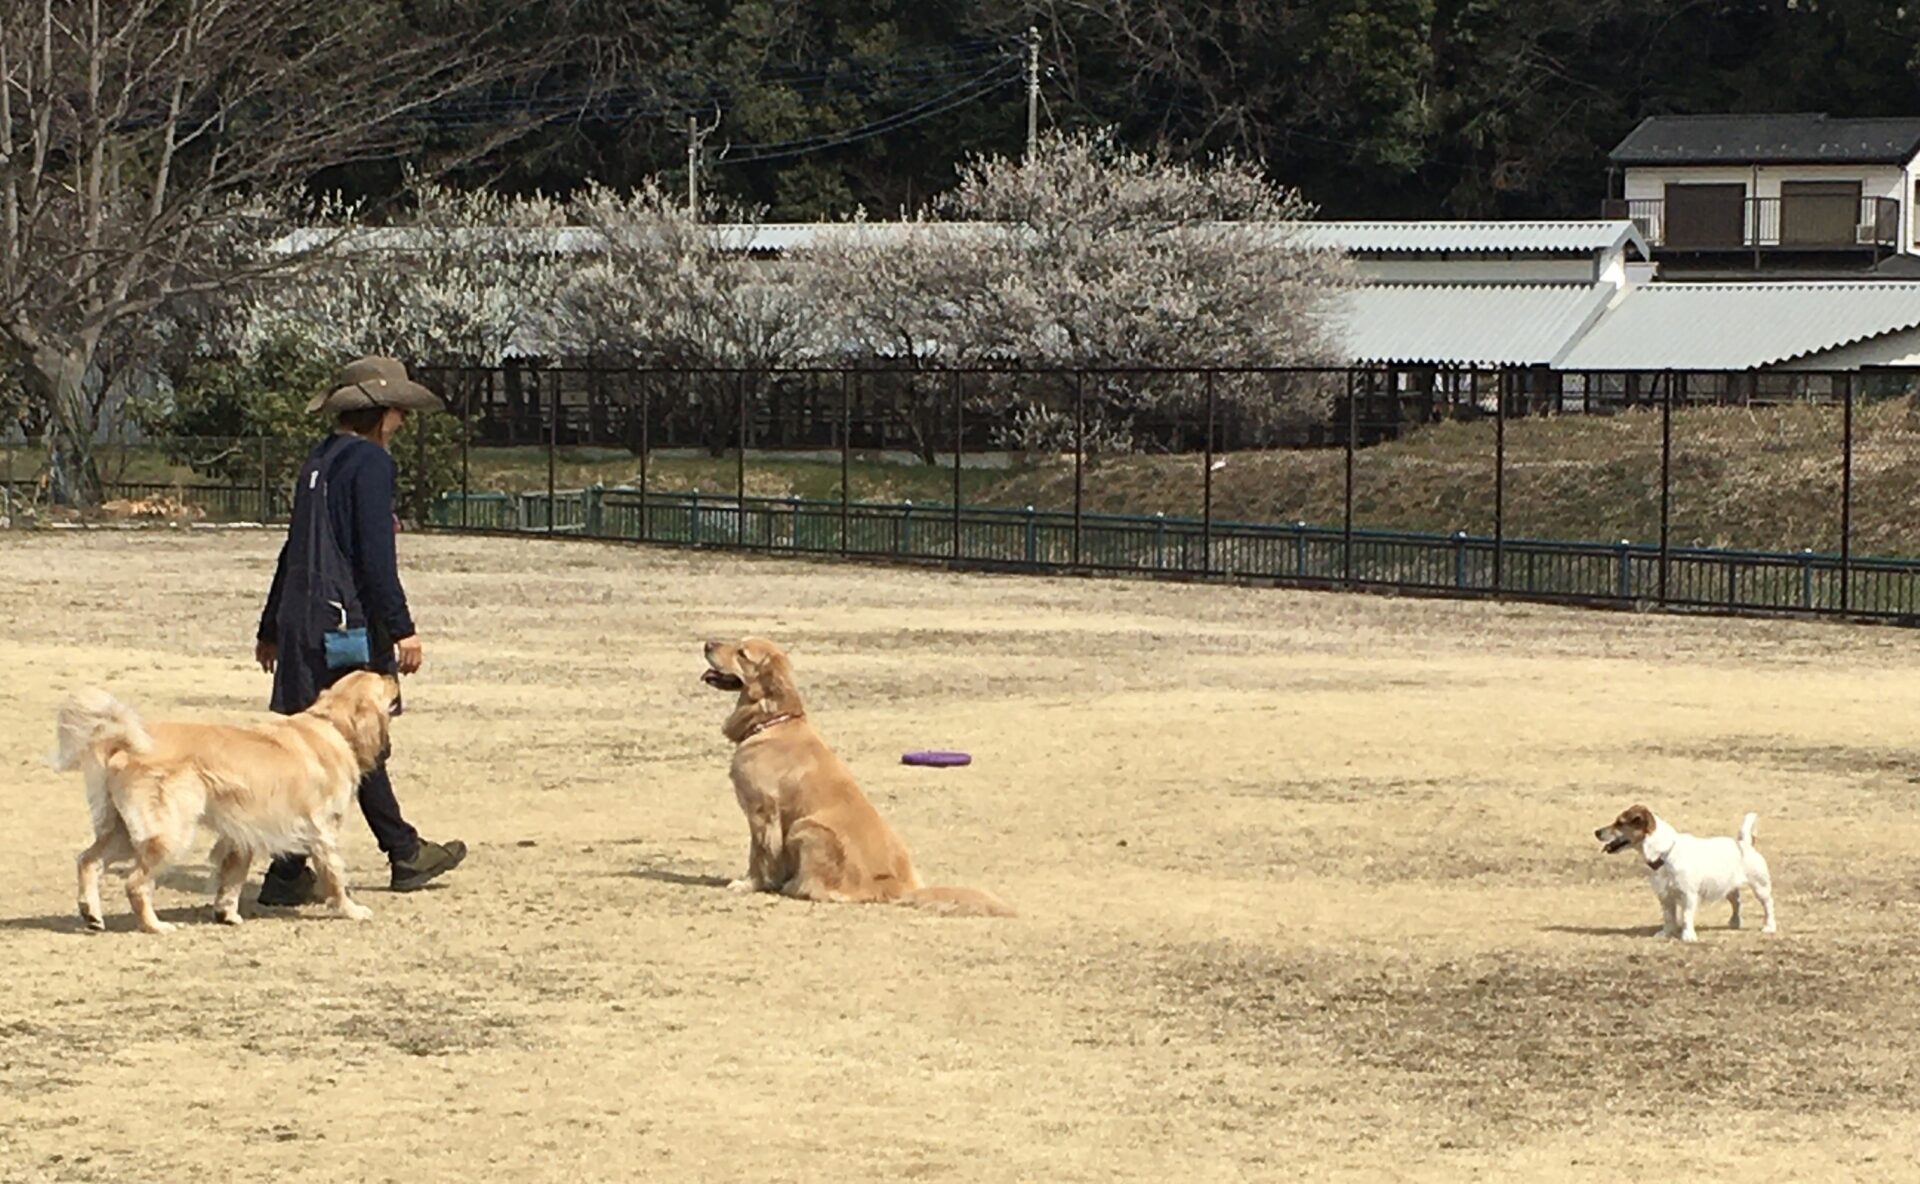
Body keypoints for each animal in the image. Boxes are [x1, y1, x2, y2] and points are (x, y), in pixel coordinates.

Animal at [51, 671, 400, 934]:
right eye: (379, 681)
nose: (392, 675)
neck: (332, 725)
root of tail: (124, 745)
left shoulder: (241, 831)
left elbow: (233, 875)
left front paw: (226, 914)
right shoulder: (323, 832)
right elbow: (336, 876)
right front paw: (350, 910)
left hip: (125, 831)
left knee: (88, 861)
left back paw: (92, 915)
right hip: (169, 834)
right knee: (135, 883)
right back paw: (155, 926)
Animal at [701, 638, 1012, 917]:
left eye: (742, 653)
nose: (706, 644)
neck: (771, 722)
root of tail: (897, 887)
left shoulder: (763, 813)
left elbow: (759, 856)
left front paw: (748, 884)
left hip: (805, 827)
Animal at [1594, 804, 1777, 942]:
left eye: (1619, 822)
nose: (1596, 832)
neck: (1665, 854)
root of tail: (1744, 843)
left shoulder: (1688, 895)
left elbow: (1687, 915)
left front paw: (1688, 936)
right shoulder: (1664, 896)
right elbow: (1668, 917)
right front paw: (1666, 933)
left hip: (1760, 886)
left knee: (1768, 904)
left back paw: (1769, 926)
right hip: (1728, 888)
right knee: (1737, 902)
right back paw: (1735, 922)